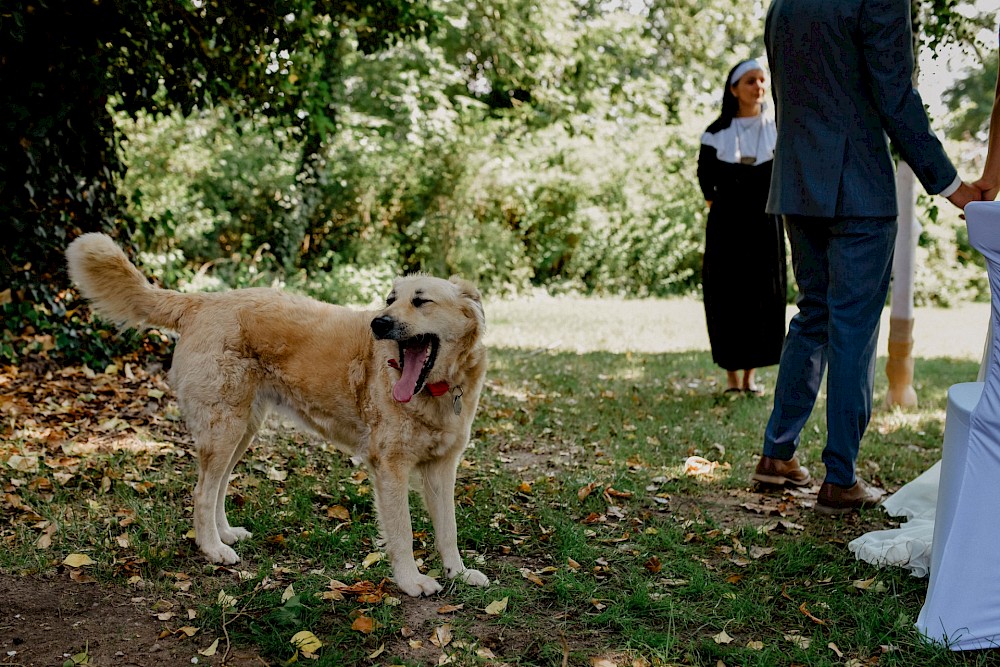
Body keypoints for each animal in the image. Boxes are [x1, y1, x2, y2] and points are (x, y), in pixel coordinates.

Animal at [65, 234, 488, 596]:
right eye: (389, 299)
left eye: (421, 301)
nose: (378, 323)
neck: (436, 390)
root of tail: (201, 301)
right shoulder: (391, 468)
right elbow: (403, 532)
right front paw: (411, 581)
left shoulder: (441, 469)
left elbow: (448, 529)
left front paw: (458, 572)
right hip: (225, 428)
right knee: (202, 491)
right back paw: (213, 549)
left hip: (241, 430)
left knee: (217, 487)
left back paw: (225, 534)